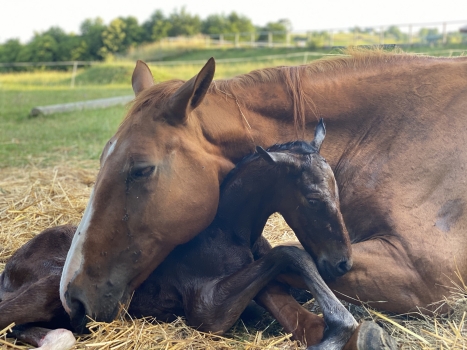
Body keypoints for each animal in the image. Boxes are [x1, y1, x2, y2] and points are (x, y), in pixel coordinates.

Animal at [0, 121, 394, 350]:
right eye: (312, 199)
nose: (343, 263)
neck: (229, 231)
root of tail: (12, 263)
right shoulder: (207, 307)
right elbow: (292, 253)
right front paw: (341, 327)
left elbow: (293, 297)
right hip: (50, 286)